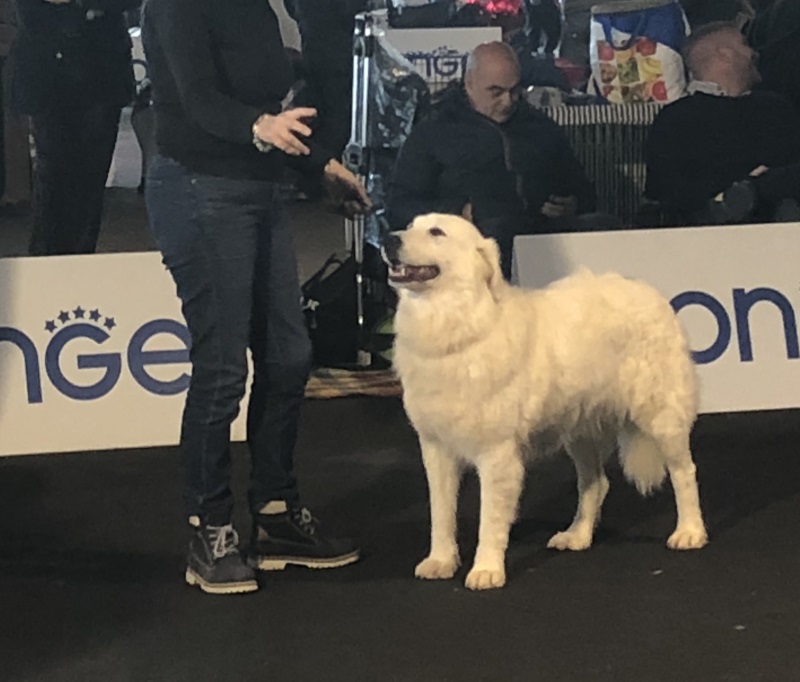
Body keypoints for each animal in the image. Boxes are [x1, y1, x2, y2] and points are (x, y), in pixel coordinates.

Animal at [382, 213, 708, 591]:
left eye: (436, 232)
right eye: (411, 226)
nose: (387, 240)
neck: (458, 326)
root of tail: (647, 290)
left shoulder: (497, 454)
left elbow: (489, 520)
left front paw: (486, 569)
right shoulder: (436, 449)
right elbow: (441, 514)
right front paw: (440, 561)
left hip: (661, 415)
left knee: (685, 472)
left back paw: (690, 532)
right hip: (579, 430)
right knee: (596, 483)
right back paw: (577, 535)